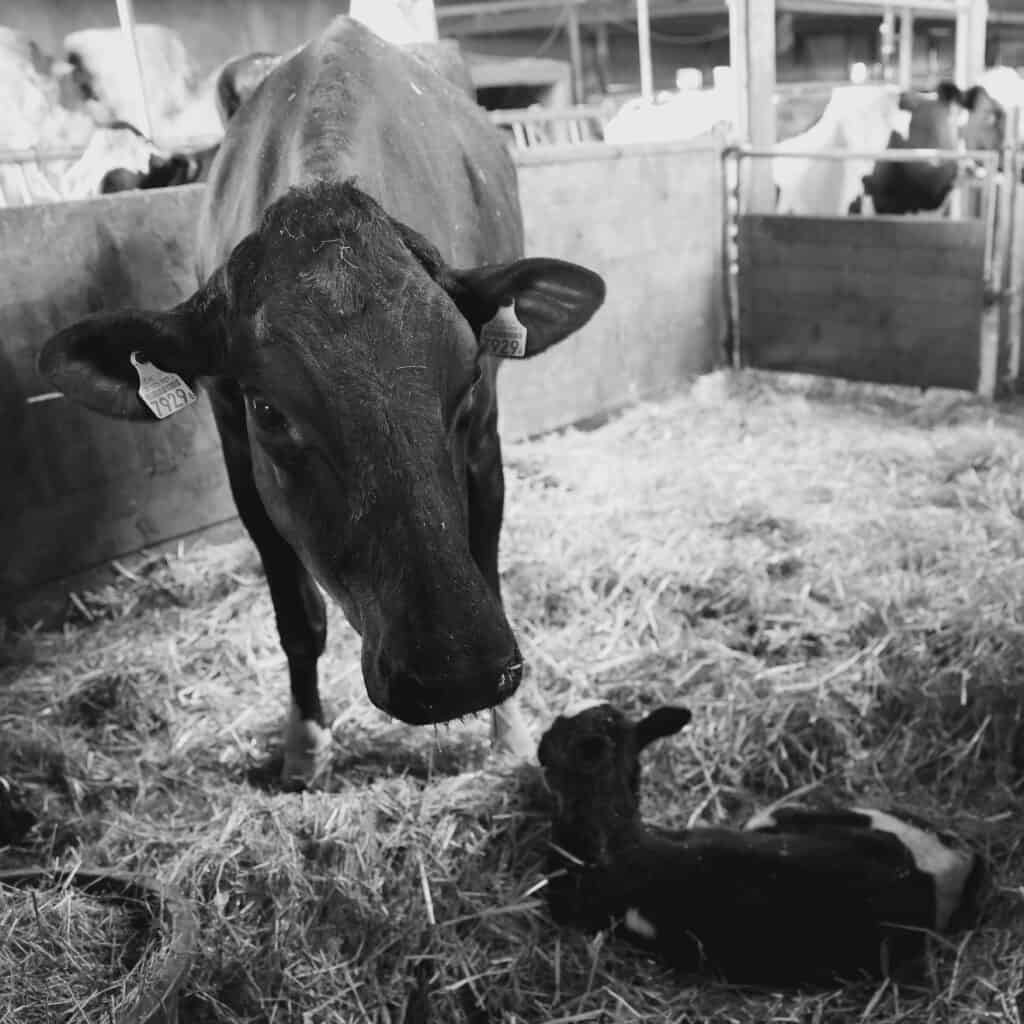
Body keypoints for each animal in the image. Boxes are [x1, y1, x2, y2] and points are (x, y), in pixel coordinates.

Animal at [37, 17, 607, 788]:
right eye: (269, 411)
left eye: (463, 386)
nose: (455, 671)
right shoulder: (240, 459)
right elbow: (297, 619)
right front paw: (304, 745)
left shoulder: (486, 443)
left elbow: (487, 566)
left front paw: (510, 734)